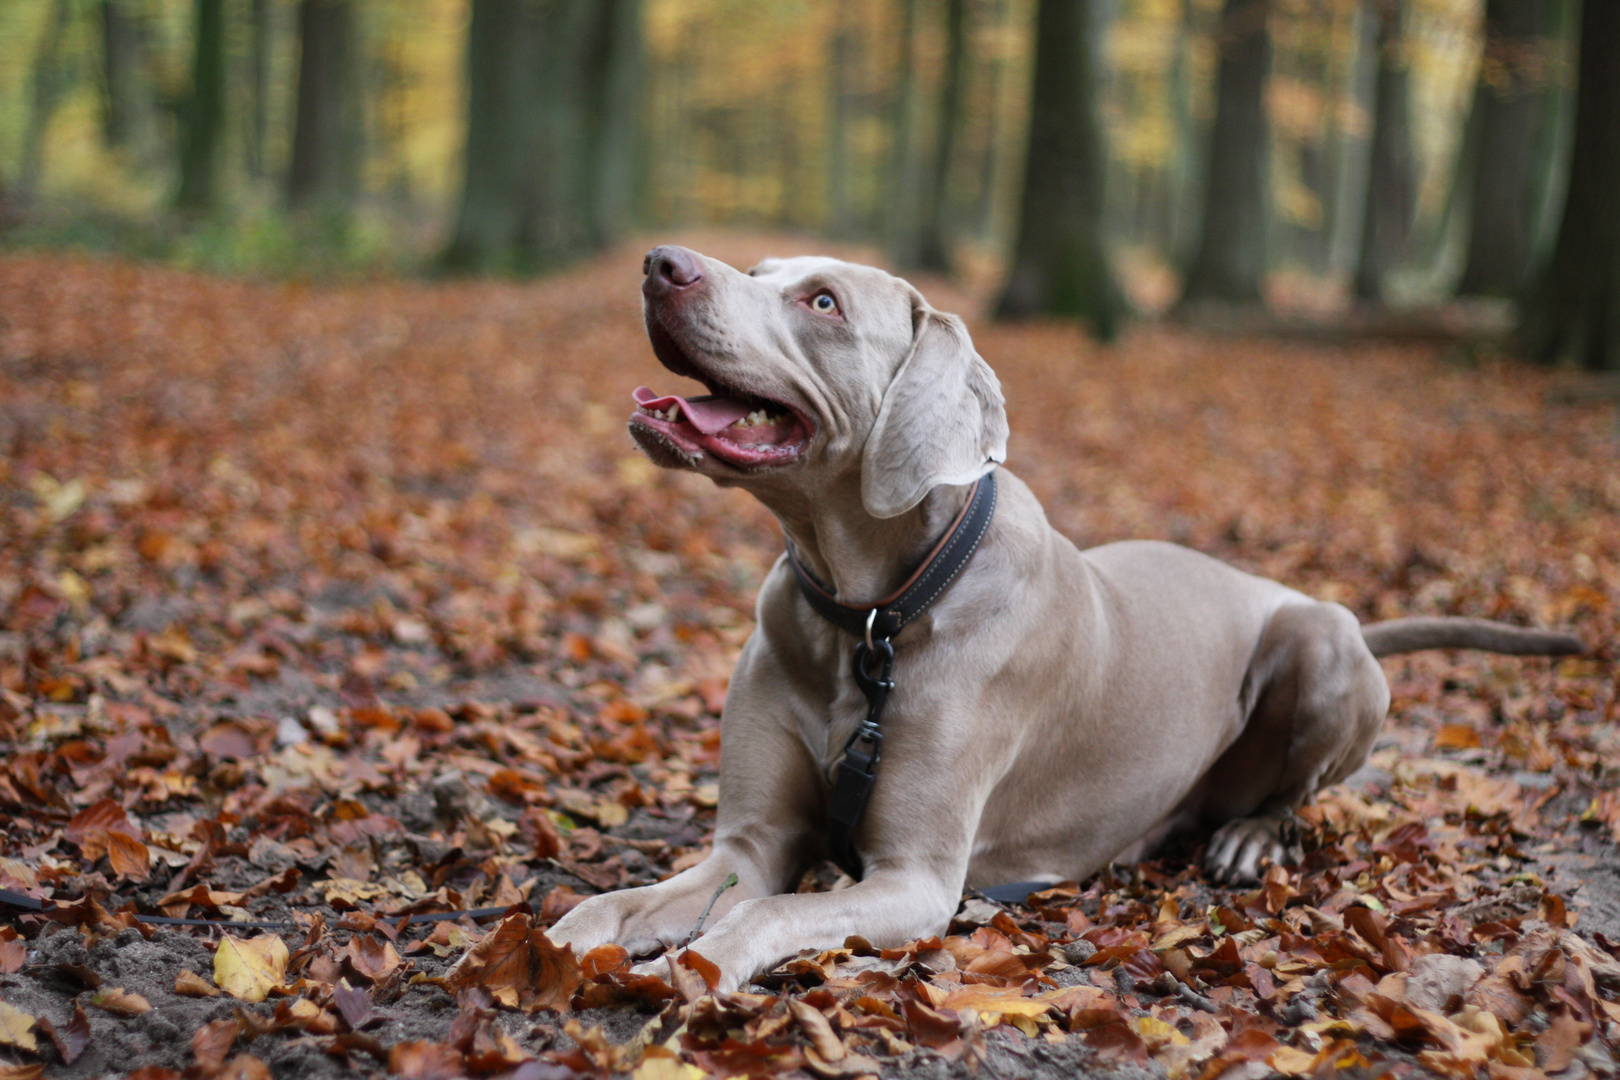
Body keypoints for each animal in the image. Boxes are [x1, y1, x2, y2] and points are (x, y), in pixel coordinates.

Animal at [554, 247, 1581, 997]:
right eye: (761, 270)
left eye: (824, 303)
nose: (662, 262)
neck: (873, 614)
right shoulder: (752, 842)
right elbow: (634, 898)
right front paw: (562, 937)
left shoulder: (916, 880)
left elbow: (767, 913)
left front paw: (704, 958)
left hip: (1323, 643)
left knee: (1293, 795)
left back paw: (1249, 837)